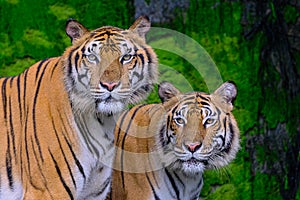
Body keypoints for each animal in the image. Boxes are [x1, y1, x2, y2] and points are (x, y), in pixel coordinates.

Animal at [0, 16, 158, 200]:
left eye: (126, 57)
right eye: (92, 57)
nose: (109, 85)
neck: (103, 122)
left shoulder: (93, 192)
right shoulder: (47, 190)